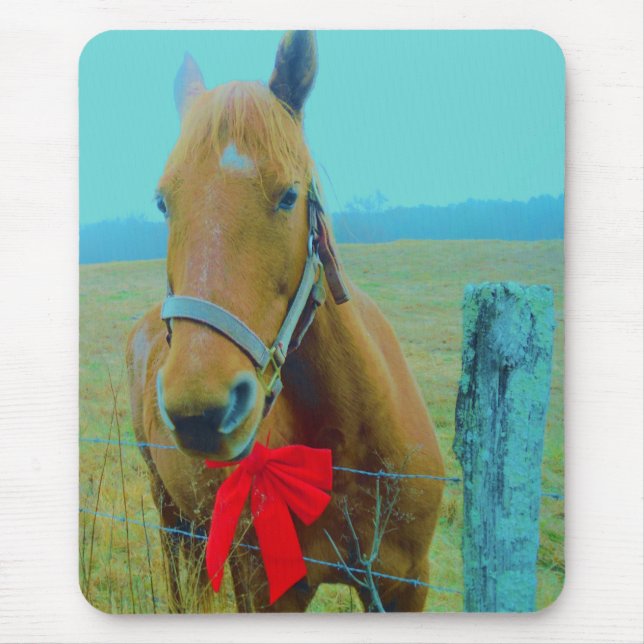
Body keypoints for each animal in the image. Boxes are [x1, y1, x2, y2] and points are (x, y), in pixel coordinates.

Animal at [126, 30, 444, 613]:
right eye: (163, 203)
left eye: (289, 195)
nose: (201, 411)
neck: (346, 446)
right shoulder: (266, 589)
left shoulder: (406, 584)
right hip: (170, 511)